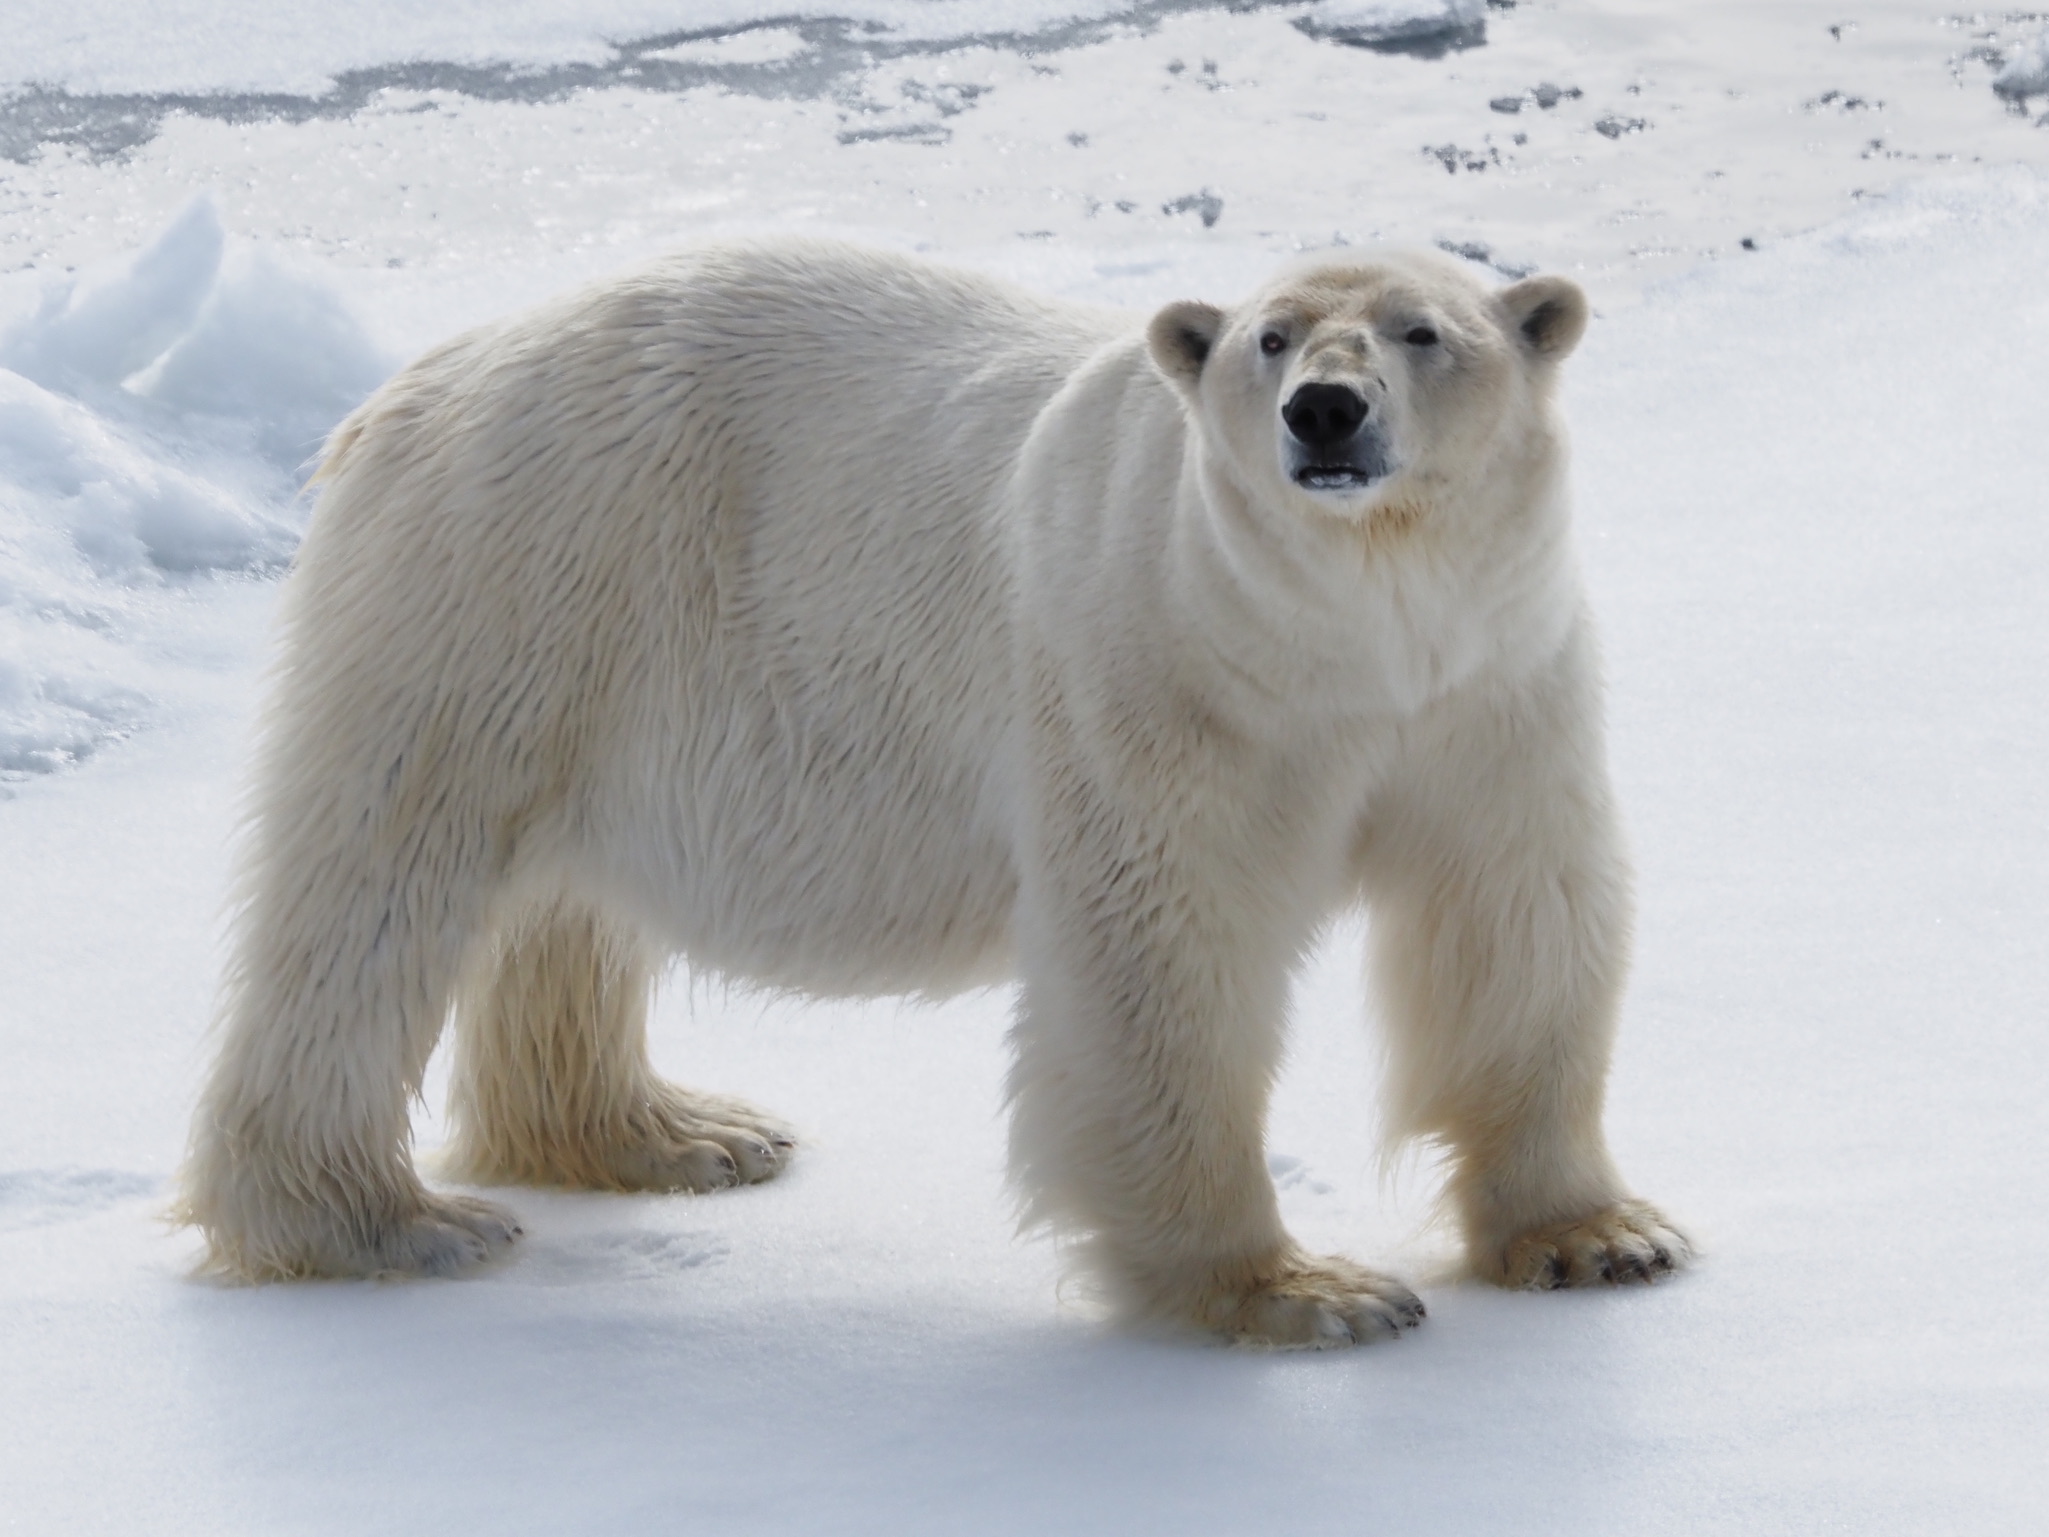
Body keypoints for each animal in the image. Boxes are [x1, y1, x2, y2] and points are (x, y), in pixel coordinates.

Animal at [180, 237, 1680, 1344]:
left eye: (1425, 330)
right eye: (1270, 336)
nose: (1326, 408)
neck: (1343, 639)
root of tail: (406, 385)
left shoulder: (1488, 689)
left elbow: (1517, 915)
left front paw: (1599, 1236)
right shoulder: (1154, 684)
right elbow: (1164, 955)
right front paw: (1302, 1290)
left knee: (557, 907)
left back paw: (677, 1132)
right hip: (506, 585)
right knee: (376, 889)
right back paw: (387, 1222)